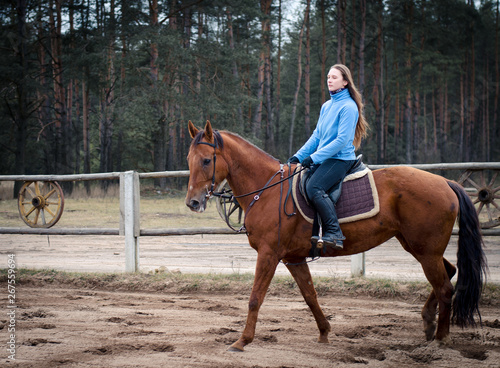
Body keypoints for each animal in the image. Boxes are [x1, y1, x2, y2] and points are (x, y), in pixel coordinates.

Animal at [184, 120, 484, 350]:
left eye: (207, 160)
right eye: (189, 161)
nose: (193, 203)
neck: (268, 190)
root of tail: (446, 181)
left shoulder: (269, 254)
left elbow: (255, 297)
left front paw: (242, 341)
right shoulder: (293, 258)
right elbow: (310, 295)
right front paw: (324, 332)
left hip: (426, 251)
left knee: (444, 287)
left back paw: (441, 339)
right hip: (418, 247)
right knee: (449, 272)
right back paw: (428, 321)